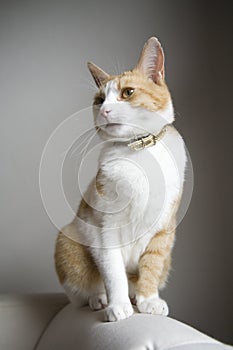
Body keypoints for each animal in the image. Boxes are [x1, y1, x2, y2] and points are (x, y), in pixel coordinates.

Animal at [54, 37, 186, 322]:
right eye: (99, 99)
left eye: (128, 93)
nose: (105, 110)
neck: (138, 152)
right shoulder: (104, 229)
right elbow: (113, 272)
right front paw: (118, 305)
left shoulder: (164, 230)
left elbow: (151, 265)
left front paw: (148, 300)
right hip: (68, 241)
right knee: (81, 294)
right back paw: (99, 299)